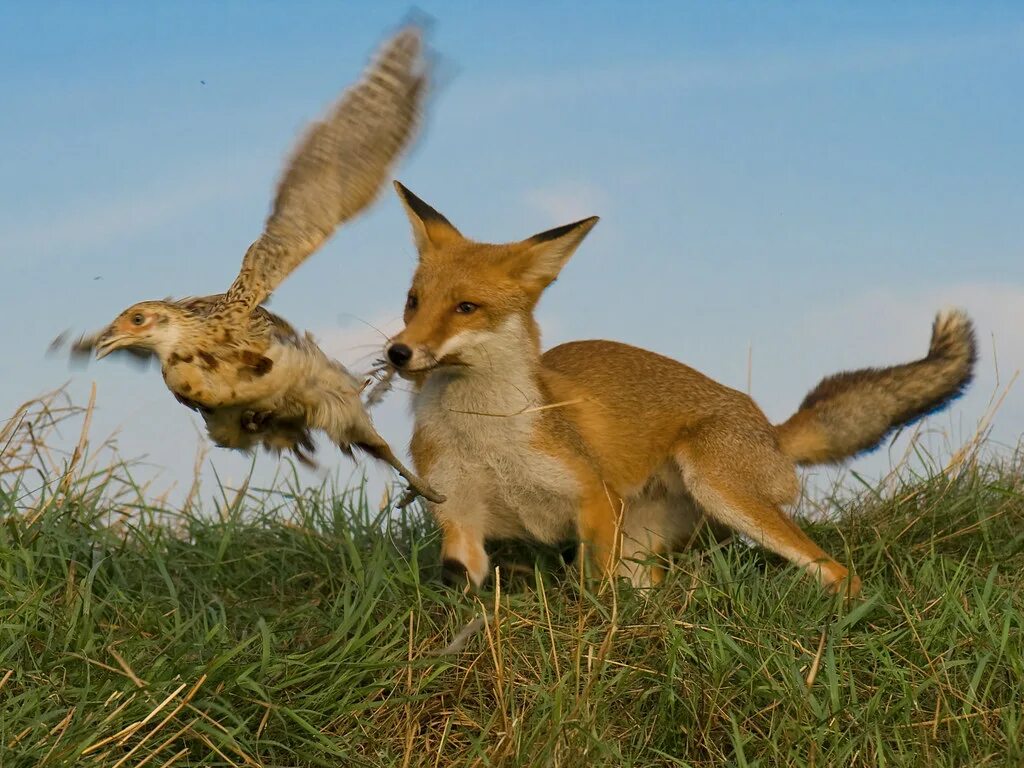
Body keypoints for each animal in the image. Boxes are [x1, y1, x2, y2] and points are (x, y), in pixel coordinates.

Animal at [382, 183, 974, 598]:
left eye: (466, 307)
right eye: (413, 301)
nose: (397, 353)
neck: (486, 440)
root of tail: (772, 431)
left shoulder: (595, 498)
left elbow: (592, 595)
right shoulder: (461, 521)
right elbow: (463, 588)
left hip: (721, 489)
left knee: (838, 571)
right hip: (644, 550)